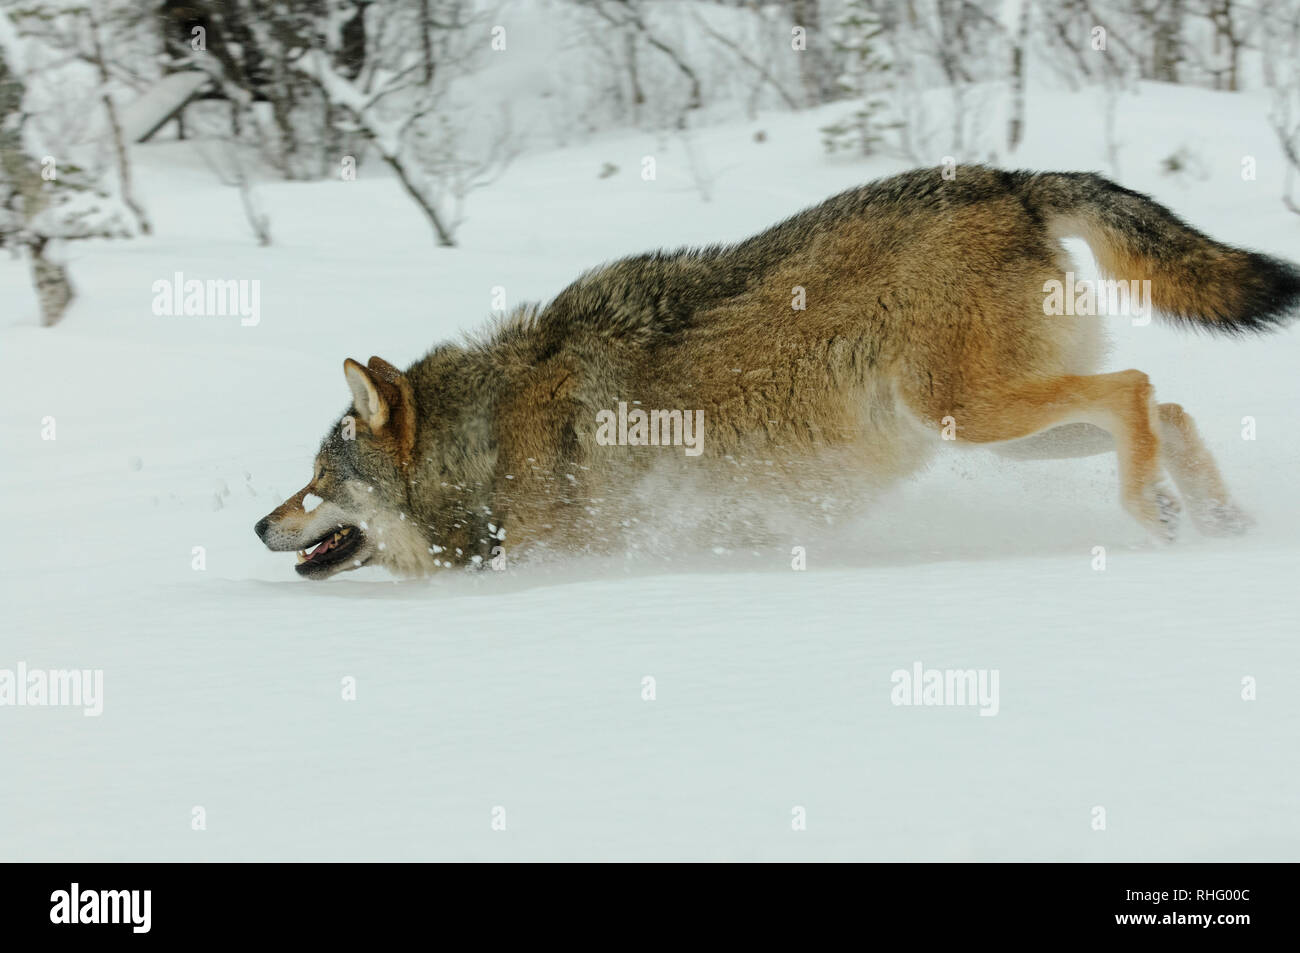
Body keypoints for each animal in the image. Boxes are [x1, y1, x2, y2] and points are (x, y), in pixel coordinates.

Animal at [253, 166, 1300, 577]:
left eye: (315, 480)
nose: (259, 523)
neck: (479, 443)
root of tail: (1010, 180)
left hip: (975, 415)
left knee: (1140, 393)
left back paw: (1159, 517)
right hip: (1001, 433)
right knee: (1167, 404)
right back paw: (1221, 524)